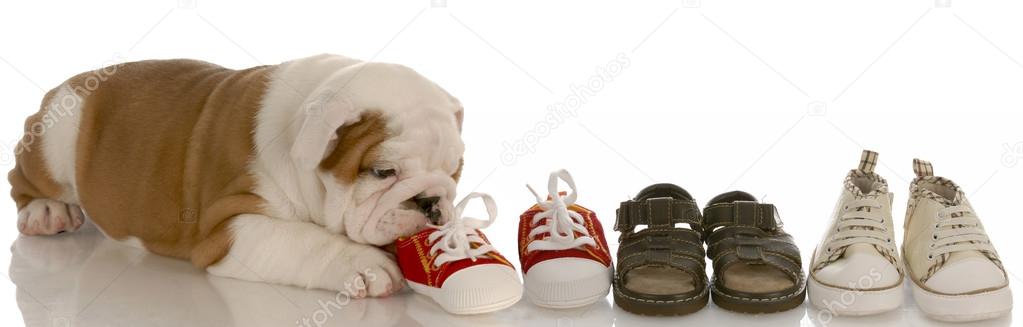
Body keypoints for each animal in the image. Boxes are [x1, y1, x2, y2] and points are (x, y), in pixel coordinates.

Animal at [7, 54, 464, 298]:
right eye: (382, 172)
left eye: (455, 170)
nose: (431, 202)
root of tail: (73, 81)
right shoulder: (231, 229)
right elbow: (308, 242)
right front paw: (367, 263)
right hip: (55, 140)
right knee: (22, 177)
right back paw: (46, 212)